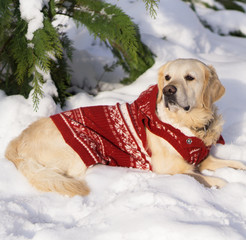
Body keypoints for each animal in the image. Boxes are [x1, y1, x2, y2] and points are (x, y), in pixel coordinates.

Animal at [4, 58, 246, 197]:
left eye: (190, 77)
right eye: (168, 77)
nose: (168, 90)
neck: (189, 125)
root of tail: (16, 143)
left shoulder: (203, 158)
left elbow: (233, 163)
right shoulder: (169, 168)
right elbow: (202, 178)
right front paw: (225, 186)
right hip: (80, 153)